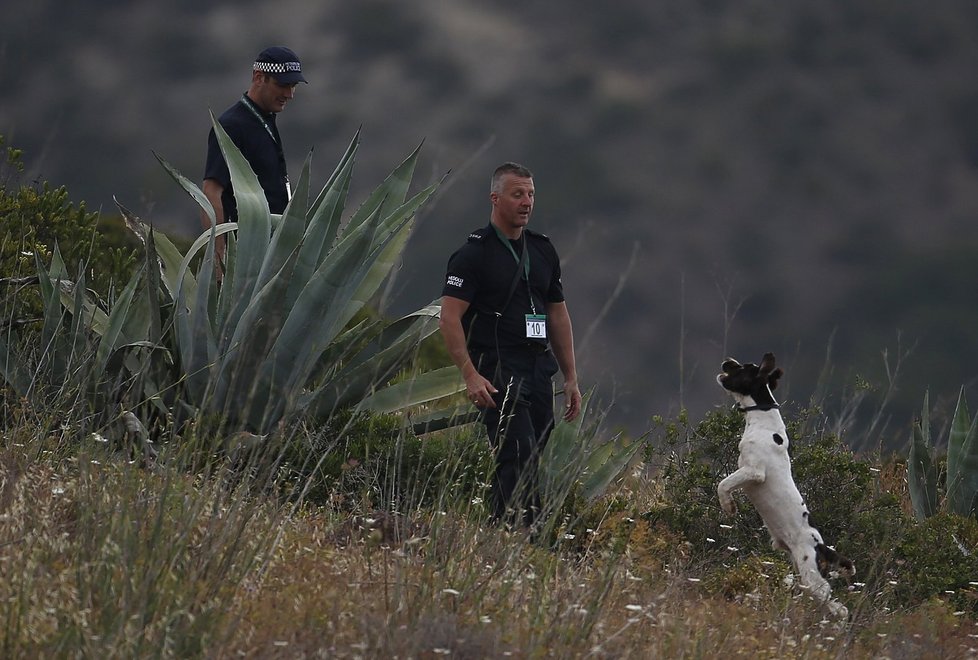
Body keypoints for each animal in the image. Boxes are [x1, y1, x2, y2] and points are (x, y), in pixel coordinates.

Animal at [712, 354, 852, 616]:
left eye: (742, 368)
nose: (727, 361)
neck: (761, 419)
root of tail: (822, 547)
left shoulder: (753, 471)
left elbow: (723, 484)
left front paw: (729, 507)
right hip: (803, 576)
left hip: (813, 579)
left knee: (841, 609)